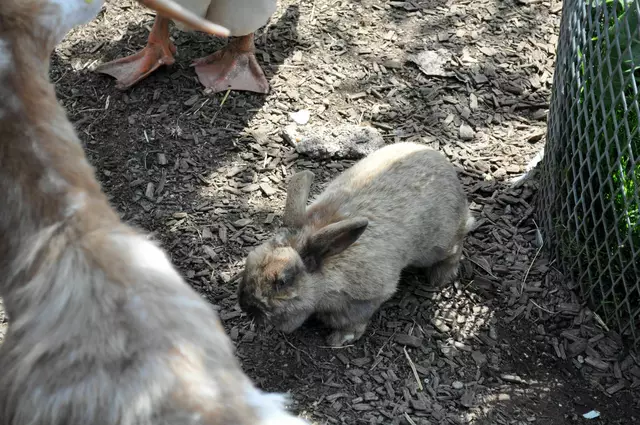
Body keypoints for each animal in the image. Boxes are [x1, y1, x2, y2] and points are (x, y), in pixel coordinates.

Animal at [238, 142, 475, 347]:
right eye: (248, 260)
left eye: (283, 281)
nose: (246, 307)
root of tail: (444, 164)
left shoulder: (367, 299)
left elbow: (354, 322)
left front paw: (339, 340)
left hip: (438, 245)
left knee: (459, 241)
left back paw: (440, 277)